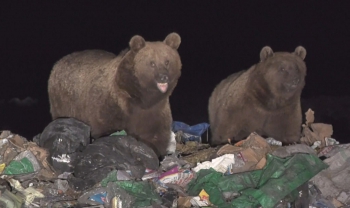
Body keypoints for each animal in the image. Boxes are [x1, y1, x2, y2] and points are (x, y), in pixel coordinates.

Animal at [47, 33, 182, 156]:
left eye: (167, 61)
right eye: (152, 63)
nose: (163, 77)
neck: (141, 99)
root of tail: (59, 62)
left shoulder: (156, 112)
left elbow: (155, 137)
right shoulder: (111, 108)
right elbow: (106, 130)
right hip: (64, 103)